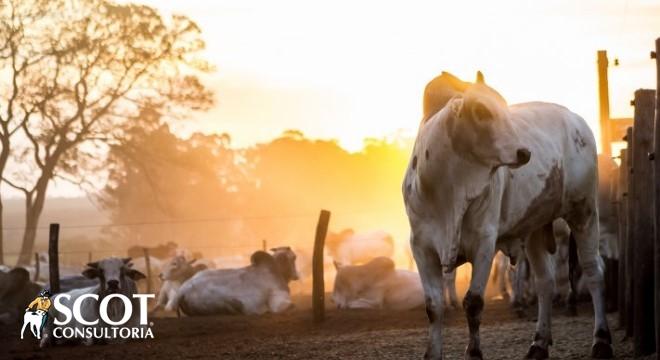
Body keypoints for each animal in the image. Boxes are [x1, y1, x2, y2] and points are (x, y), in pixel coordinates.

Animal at [402, 71, 612, 358]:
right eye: (480, 110)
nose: (524, 152)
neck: (447, 191)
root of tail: (575, 119)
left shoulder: (484, 242)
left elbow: (473, 302)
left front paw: (474, 352)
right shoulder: (422, 247)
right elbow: (433, 307)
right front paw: (433, 353)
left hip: (585, 212)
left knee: (593, 271)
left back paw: (601, 340)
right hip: (535, 228)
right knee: (545, 282)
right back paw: (538, 343)